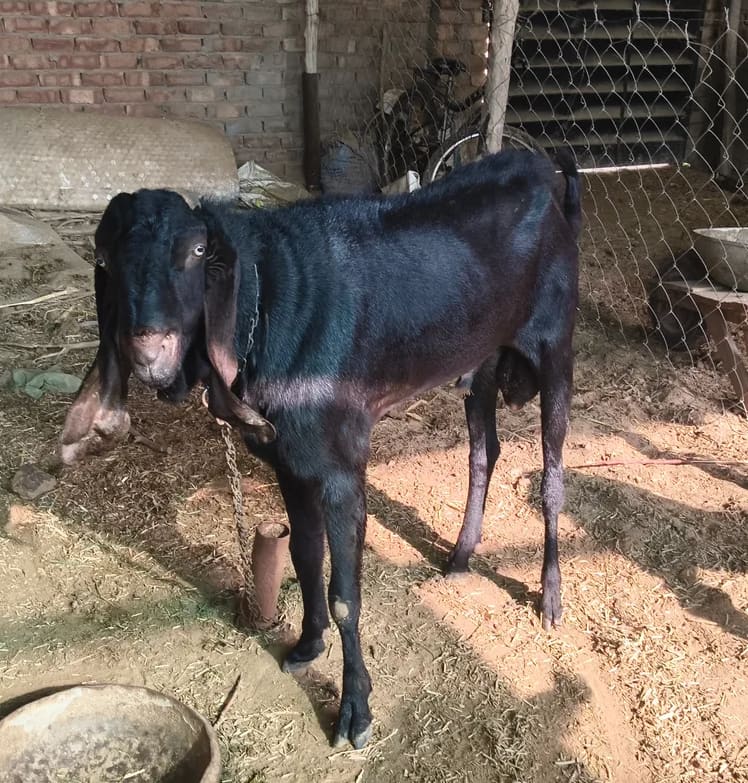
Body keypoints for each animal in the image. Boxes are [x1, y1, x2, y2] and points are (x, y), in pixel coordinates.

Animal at [60, 149, 582, 749]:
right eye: (104, 257)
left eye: (196, 251)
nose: (148, 348)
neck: (270, 302)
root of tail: (543, 170)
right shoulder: (287, 462)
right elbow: (305, 555)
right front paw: (308, 645)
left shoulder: (342, 468)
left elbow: (345, 595)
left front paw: (355, 710)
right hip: (484, 356)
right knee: (484, 450)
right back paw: (460, 556)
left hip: (556, 344)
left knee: (552, 474)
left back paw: (550, 597)